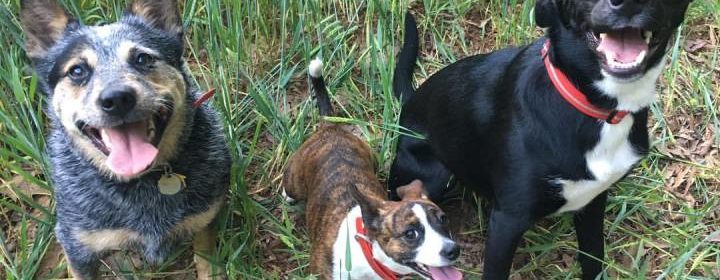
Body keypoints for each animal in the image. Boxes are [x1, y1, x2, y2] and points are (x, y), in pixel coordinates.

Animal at [21, 1, 231, 278]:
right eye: (77, 70)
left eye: (142, 58)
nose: (117, 98)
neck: (142, 185)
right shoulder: (77, 244)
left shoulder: (204, 220)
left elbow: (207, 262)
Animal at [390, 1, 696, 278]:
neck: (596, 106)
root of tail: (411, 101)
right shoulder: (507, 221)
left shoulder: (594, 201)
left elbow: (593, 259)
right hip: (434, 175)